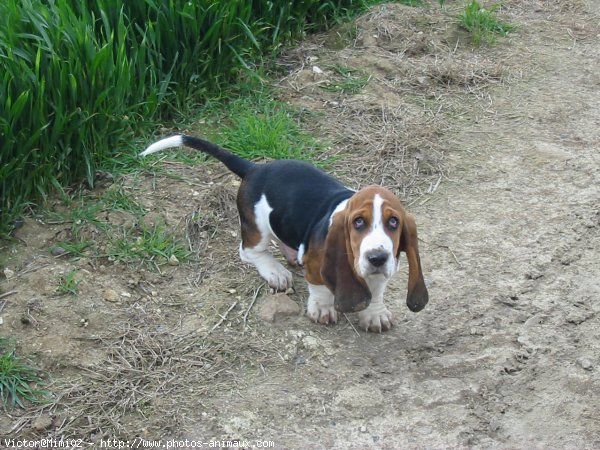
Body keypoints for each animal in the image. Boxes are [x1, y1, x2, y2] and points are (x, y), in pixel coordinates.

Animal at [141, 134, 428, 330]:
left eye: (394, 222)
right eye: (358, 222)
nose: (377, 257)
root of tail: (255, 168)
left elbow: (377, 289)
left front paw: (375, 314)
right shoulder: (317, 263)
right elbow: (320, 287)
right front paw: (322, 309)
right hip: (257, 227)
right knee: (248, 252)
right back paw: (275, 272)